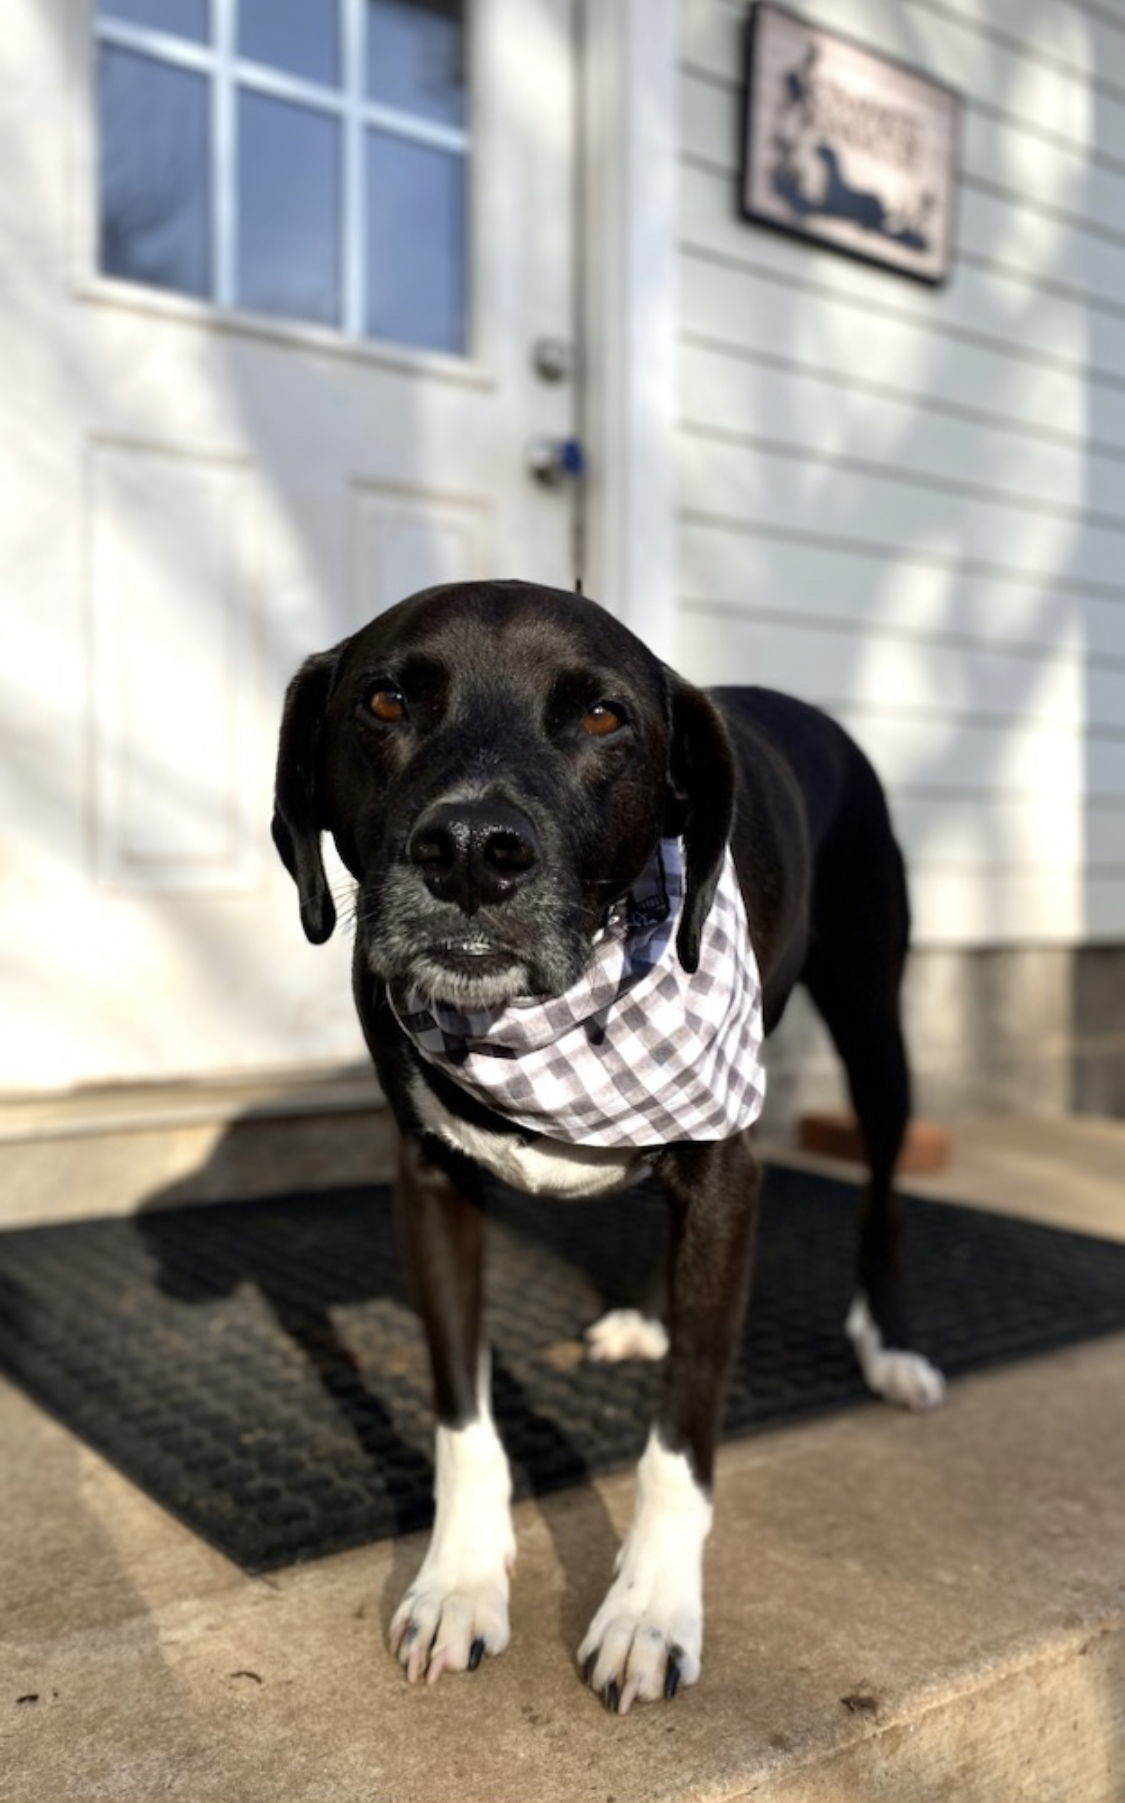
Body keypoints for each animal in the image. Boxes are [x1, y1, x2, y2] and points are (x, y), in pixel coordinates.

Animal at [270, 584, 937, 1709]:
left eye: (600, 717)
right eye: (385, 699)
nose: (471, 849)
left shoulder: (728, 1175)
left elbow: (681, 1437)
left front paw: (650, 1613)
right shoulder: (429, 1183)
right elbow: (462, 1417)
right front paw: (458, 1584)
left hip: (871, 1022)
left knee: (883, 1188)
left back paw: (891, 1343)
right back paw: (642, 1313)